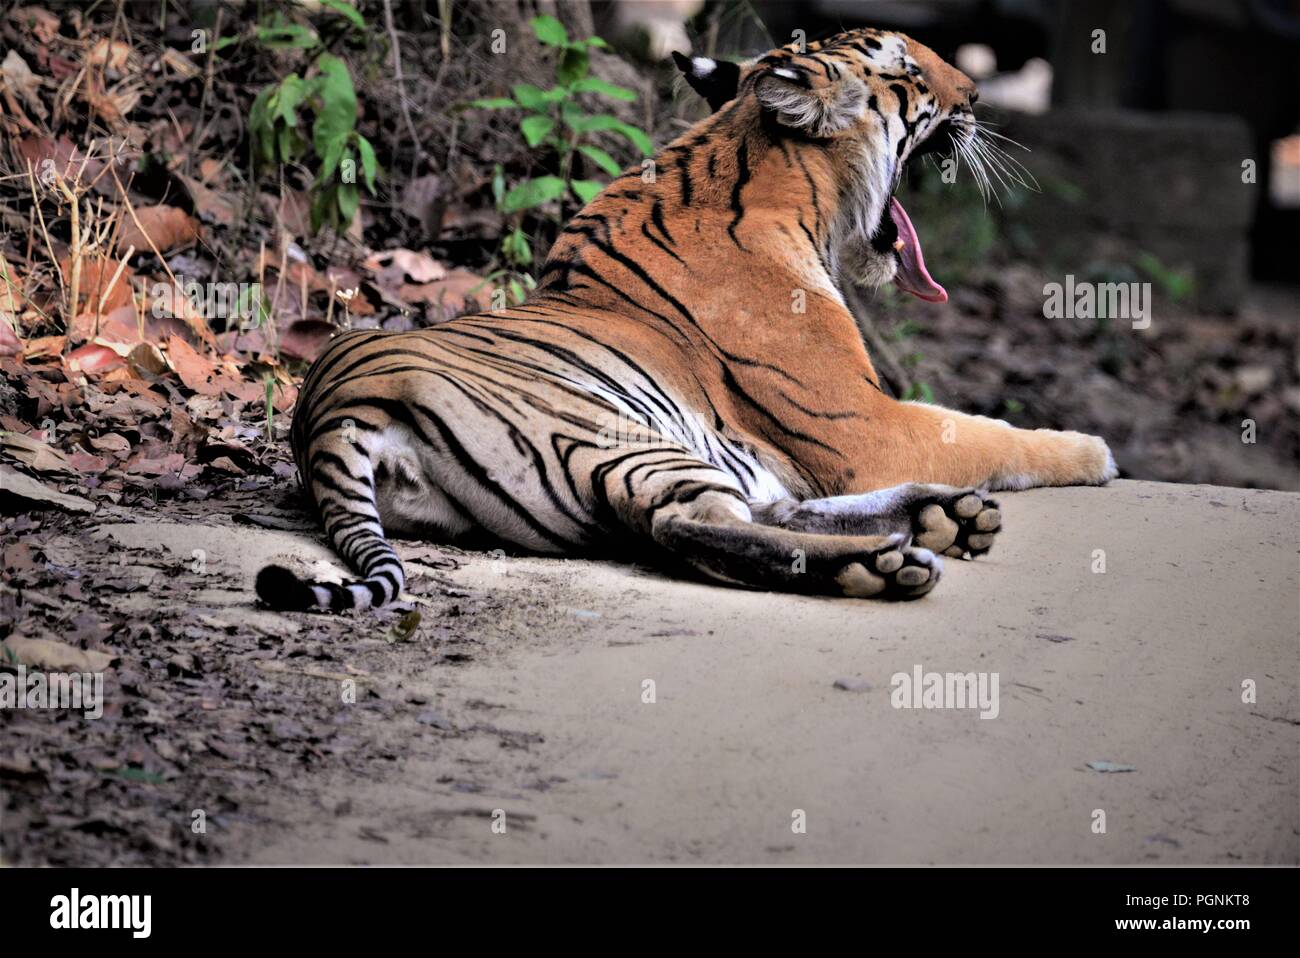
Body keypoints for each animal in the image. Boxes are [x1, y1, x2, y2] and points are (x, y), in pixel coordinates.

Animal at [256, 29, 1118, 616]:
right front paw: (1091, 450)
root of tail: (325, 415)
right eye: (909, 72)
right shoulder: (862, 426)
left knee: (755, 508)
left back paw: (940, 517)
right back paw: (888, 559)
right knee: (693, 527)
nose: (976, 95)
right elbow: (989, 432)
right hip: (614, 434)